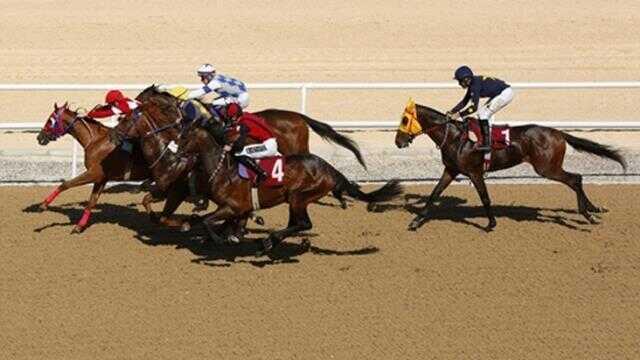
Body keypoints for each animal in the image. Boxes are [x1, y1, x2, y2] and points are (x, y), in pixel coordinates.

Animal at [36, 103, 150, 233]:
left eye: (50, 120)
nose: (39, 137)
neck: (95, 141)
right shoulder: (102, 178)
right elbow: (92, 201)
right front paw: (79, 226)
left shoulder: (94, 173)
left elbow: (65, 184)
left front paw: (43, 205)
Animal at [175, 121, 402, 253]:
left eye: (184, 136)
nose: (173, 151)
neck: (223, 170)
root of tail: (330, 169)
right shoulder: (238, 210)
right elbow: (214, 223)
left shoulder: (233, 207)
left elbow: (207, 221)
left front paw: (219, 239)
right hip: (296, 200)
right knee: (297, 223)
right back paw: (267, 243)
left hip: (298, 197)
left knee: (304, 224)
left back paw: (269, 241)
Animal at [392, 100, 628, 232]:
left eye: (404, 120)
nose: (398, 142)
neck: (455, 138)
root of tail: (558, 133)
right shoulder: (451, 170)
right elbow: (434, 194)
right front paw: (416, 222)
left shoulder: (474, 172)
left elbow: (485, 198)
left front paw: (491, 224)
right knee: (576, 180)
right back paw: (594, 209)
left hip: (546, 168)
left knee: (575, 178)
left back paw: (588, 214)